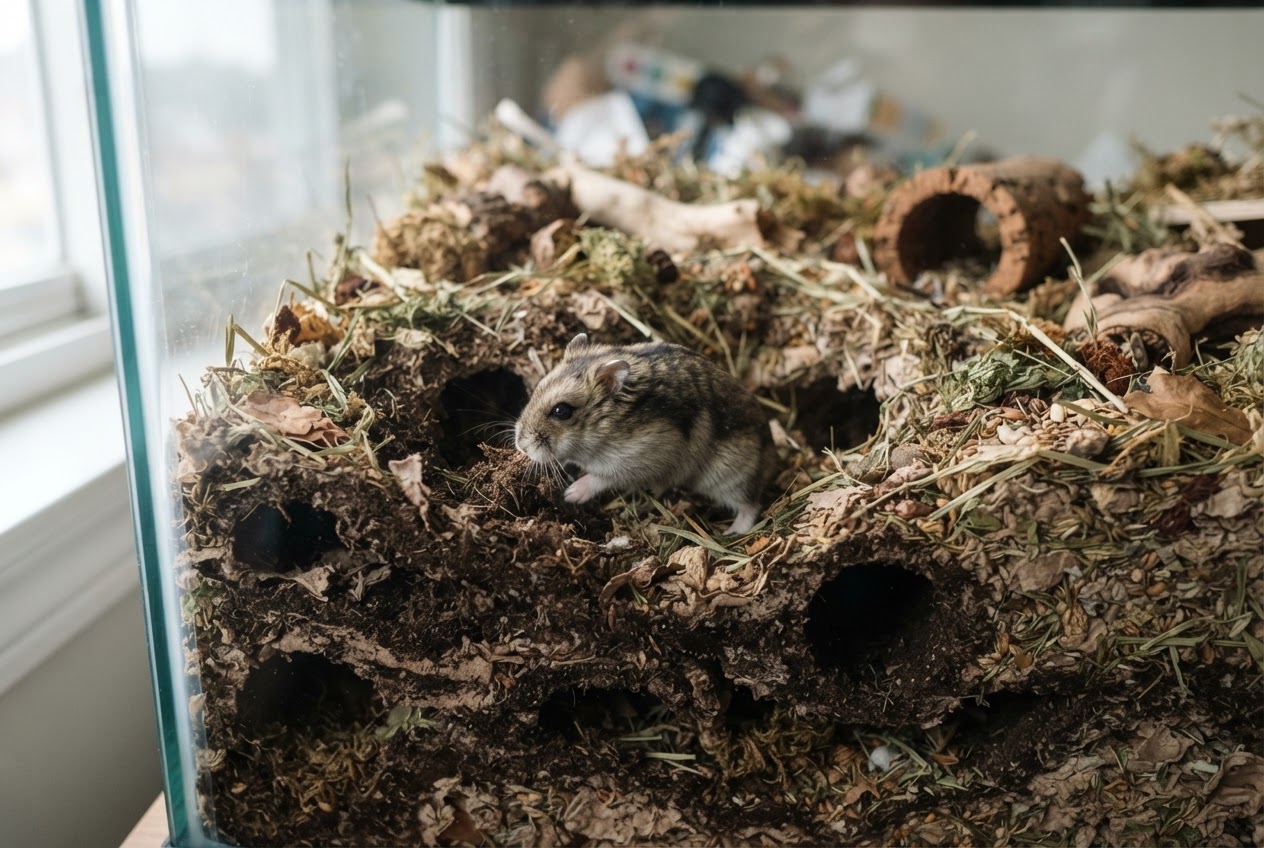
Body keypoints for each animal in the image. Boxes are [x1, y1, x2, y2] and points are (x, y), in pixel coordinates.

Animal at [514, 332, 773, 534]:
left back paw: (731, 532)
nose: (520, 446)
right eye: (537, 388)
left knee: (751, 504)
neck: (601, 429)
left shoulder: (636, 460)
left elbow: (601, 478)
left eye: (561, 411)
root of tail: (769, 448)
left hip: (731, 475)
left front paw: (570, 494)